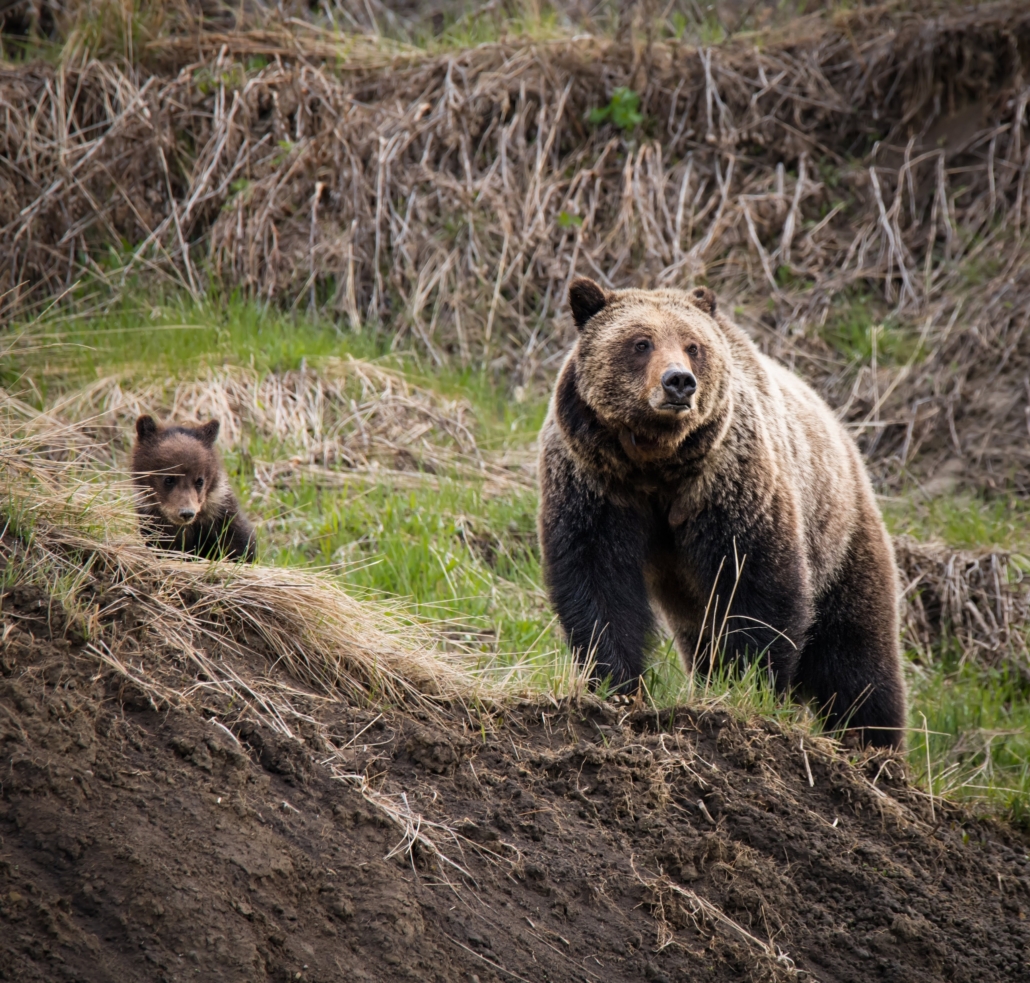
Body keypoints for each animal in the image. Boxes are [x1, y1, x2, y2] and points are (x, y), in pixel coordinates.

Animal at [132, 415, 257, 563]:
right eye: (168, 479)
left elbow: (240, 546)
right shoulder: (157, 525)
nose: (186, 513)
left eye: (199, 481)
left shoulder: (221, 520)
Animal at [537, 277, 906, 749]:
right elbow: (599, 582)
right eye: (640, 342)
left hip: (840, 533)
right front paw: (615, 685)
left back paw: (872, 740)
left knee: (856, 650)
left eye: (693, 345)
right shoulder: (595, 485)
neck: (657, 464)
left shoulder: (729, 483)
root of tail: (845, 435)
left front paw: (745, 683)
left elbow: (755, 585)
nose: (679, 382)